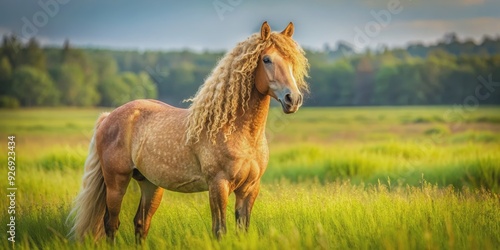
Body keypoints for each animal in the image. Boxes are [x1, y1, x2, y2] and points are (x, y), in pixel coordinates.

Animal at [66, 20, 308, 243]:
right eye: (266, 59)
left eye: (292, 61)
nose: (293, 99)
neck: (238, 132)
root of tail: (108, 117)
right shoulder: (218, 185)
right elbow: (220, 231)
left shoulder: (249, 189)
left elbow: (242, 231)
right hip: (116, 182)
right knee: (111, 223)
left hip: (150, 184)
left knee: (141, 223)